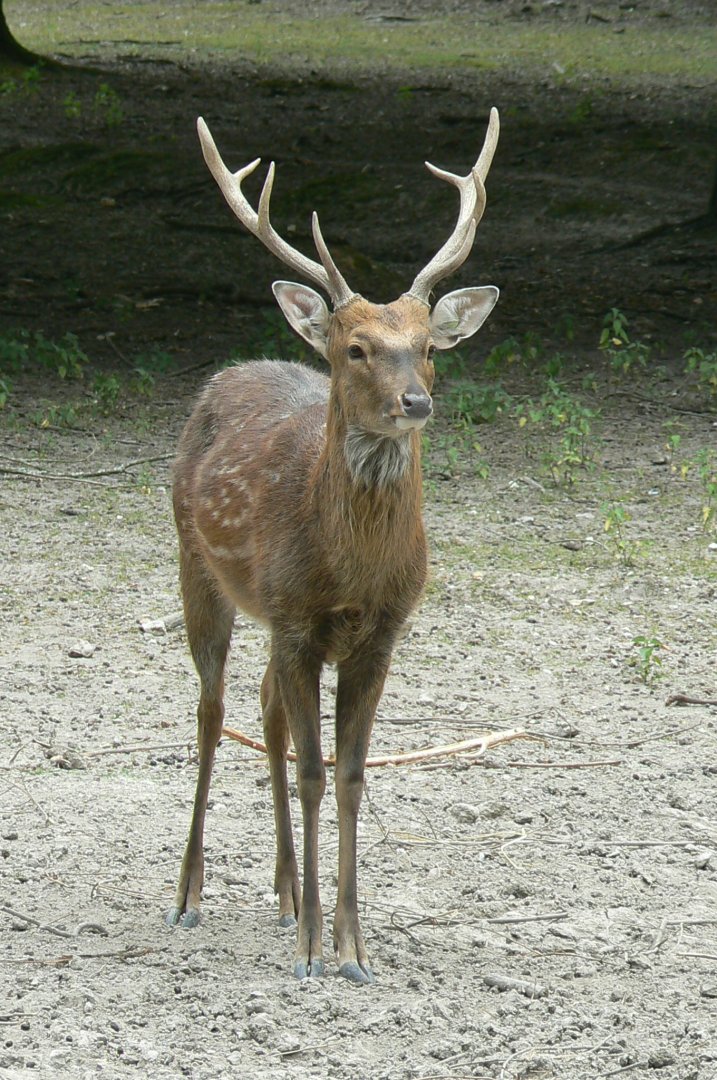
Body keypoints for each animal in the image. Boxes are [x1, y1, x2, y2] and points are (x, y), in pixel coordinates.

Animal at [166, 108, 500, 984]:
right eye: (356, 348)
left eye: (427, 346)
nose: (414, 401)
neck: (351, 574)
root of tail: (228, 373)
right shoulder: (294, 620)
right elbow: (315, 773)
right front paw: (316, 950)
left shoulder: (377, 634)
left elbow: (349, 776)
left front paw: (352, 945)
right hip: (195, 565)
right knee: (212, 712)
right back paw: (190, 896)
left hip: (272, 621)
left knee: (264, 712)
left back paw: (285, 895)